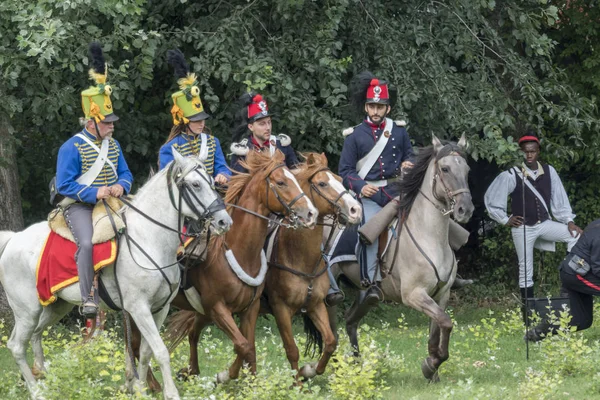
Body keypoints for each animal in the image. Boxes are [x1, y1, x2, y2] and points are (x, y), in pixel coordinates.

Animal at [0, 151, 232, 400]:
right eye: (195, 184)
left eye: (212, 182)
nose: (224, 221)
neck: (149, 238)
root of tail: (13, 239)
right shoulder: (138, 308)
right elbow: (160, 350)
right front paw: (170, 393)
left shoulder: (160, 309)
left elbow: (147, 352)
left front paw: (140, 390)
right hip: (27, 310)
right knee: (16, 345)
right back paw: (37, 391)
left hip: (54, 307)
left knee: (36, 336)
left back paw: (46, 383)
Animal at [132, 148, 318, 390]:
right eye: (281, 182)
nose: (311, 213)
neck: (238, 251)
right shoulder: (217, 308)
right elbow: (243, 346)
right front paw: (226, 375)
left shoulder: (249, 309)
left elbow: (249, 348)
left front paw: (252, 385)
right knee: (137, 344)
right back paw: (153, 385)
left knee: (190, 334)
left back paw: (187, 372)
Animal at [328, 136, 474, 382]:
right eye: (445, 169)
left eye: (467, 169)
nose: (466, 209)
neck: (429, 236)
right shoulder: (414, 295)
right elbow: (446, 322)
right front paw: (431, 364)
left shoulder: (441, 295)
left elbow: (438, 329)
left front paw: (432, 366)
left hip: (366, 295)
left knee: (350, 321)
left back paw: (356, 367)